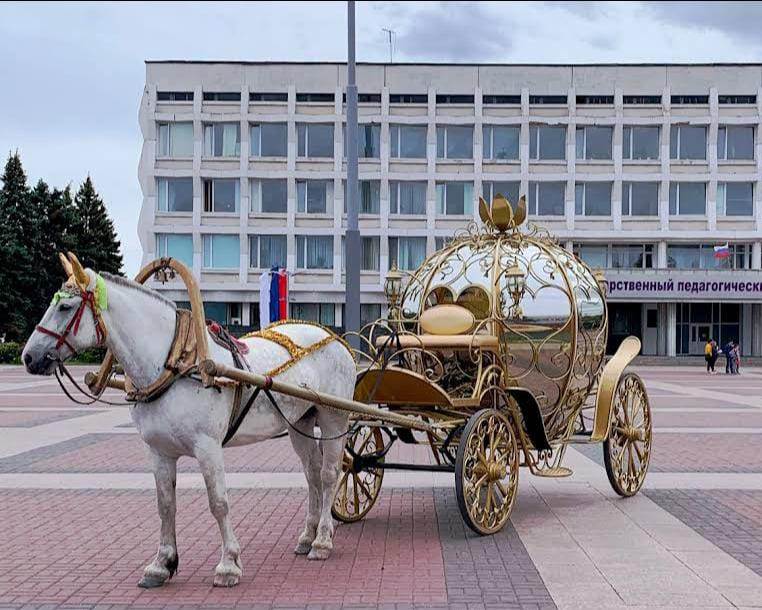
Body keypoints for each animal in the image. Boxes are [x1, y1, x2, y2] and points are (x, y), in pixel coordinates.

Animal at [22, 252, 354, 584]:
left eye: (65, 307)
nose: (29, 357)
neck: (174, 366)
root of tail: (334, 338)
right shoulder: (158, 451)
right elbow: (165, 505)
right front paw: (162, 562)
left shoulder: (208, 448)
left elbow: (218, 503)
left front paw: (229, 563)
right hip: (300, 421)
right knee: (311, 474)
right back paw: (308, 535)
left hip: (332, 417)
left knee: (328, 475)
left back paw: (322, 540)